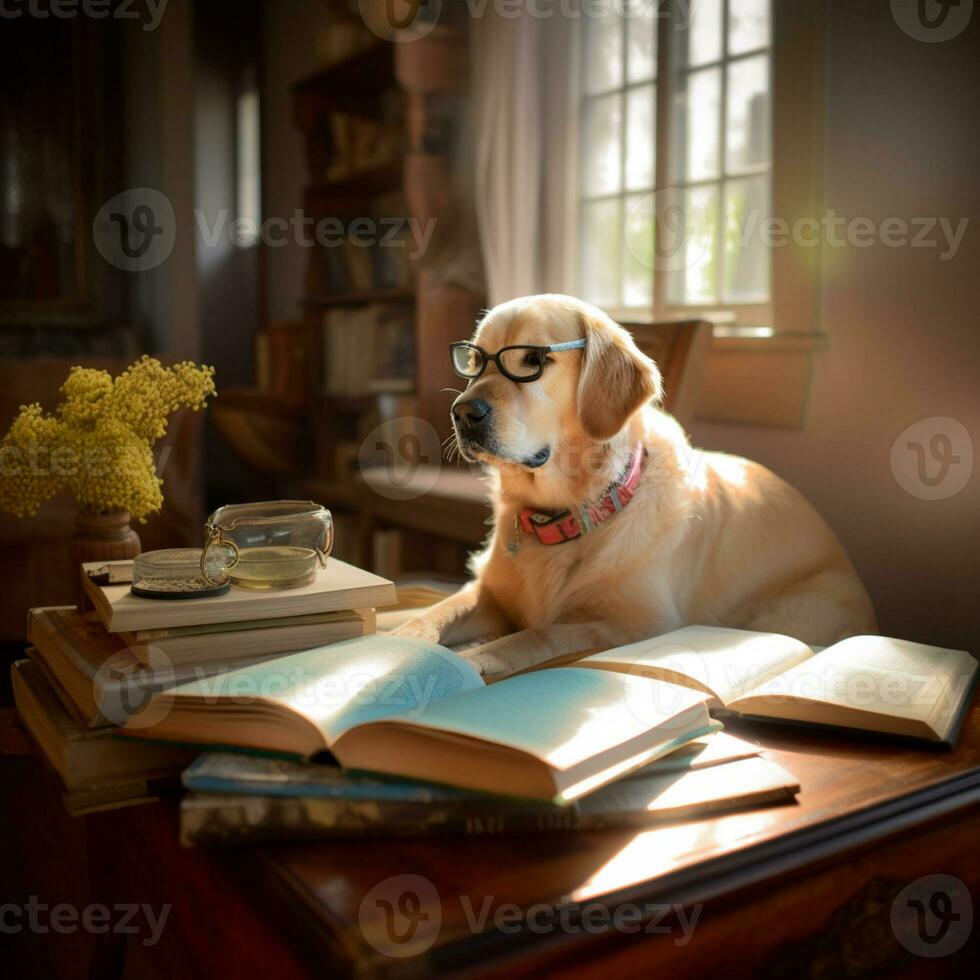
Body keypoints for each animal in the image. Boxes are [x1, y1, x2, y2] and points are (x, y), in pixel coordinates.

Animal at [394, 290, 876, 676]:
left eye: (533, 359)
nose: (463, 413)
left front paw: (474, 659)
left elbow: (540, 634)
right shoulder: (487, 592)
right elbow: (435, 611)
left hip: (786, 613)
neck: (569, 514)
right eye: (473, 361)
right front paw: (396, 641)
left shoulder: (641, 623)